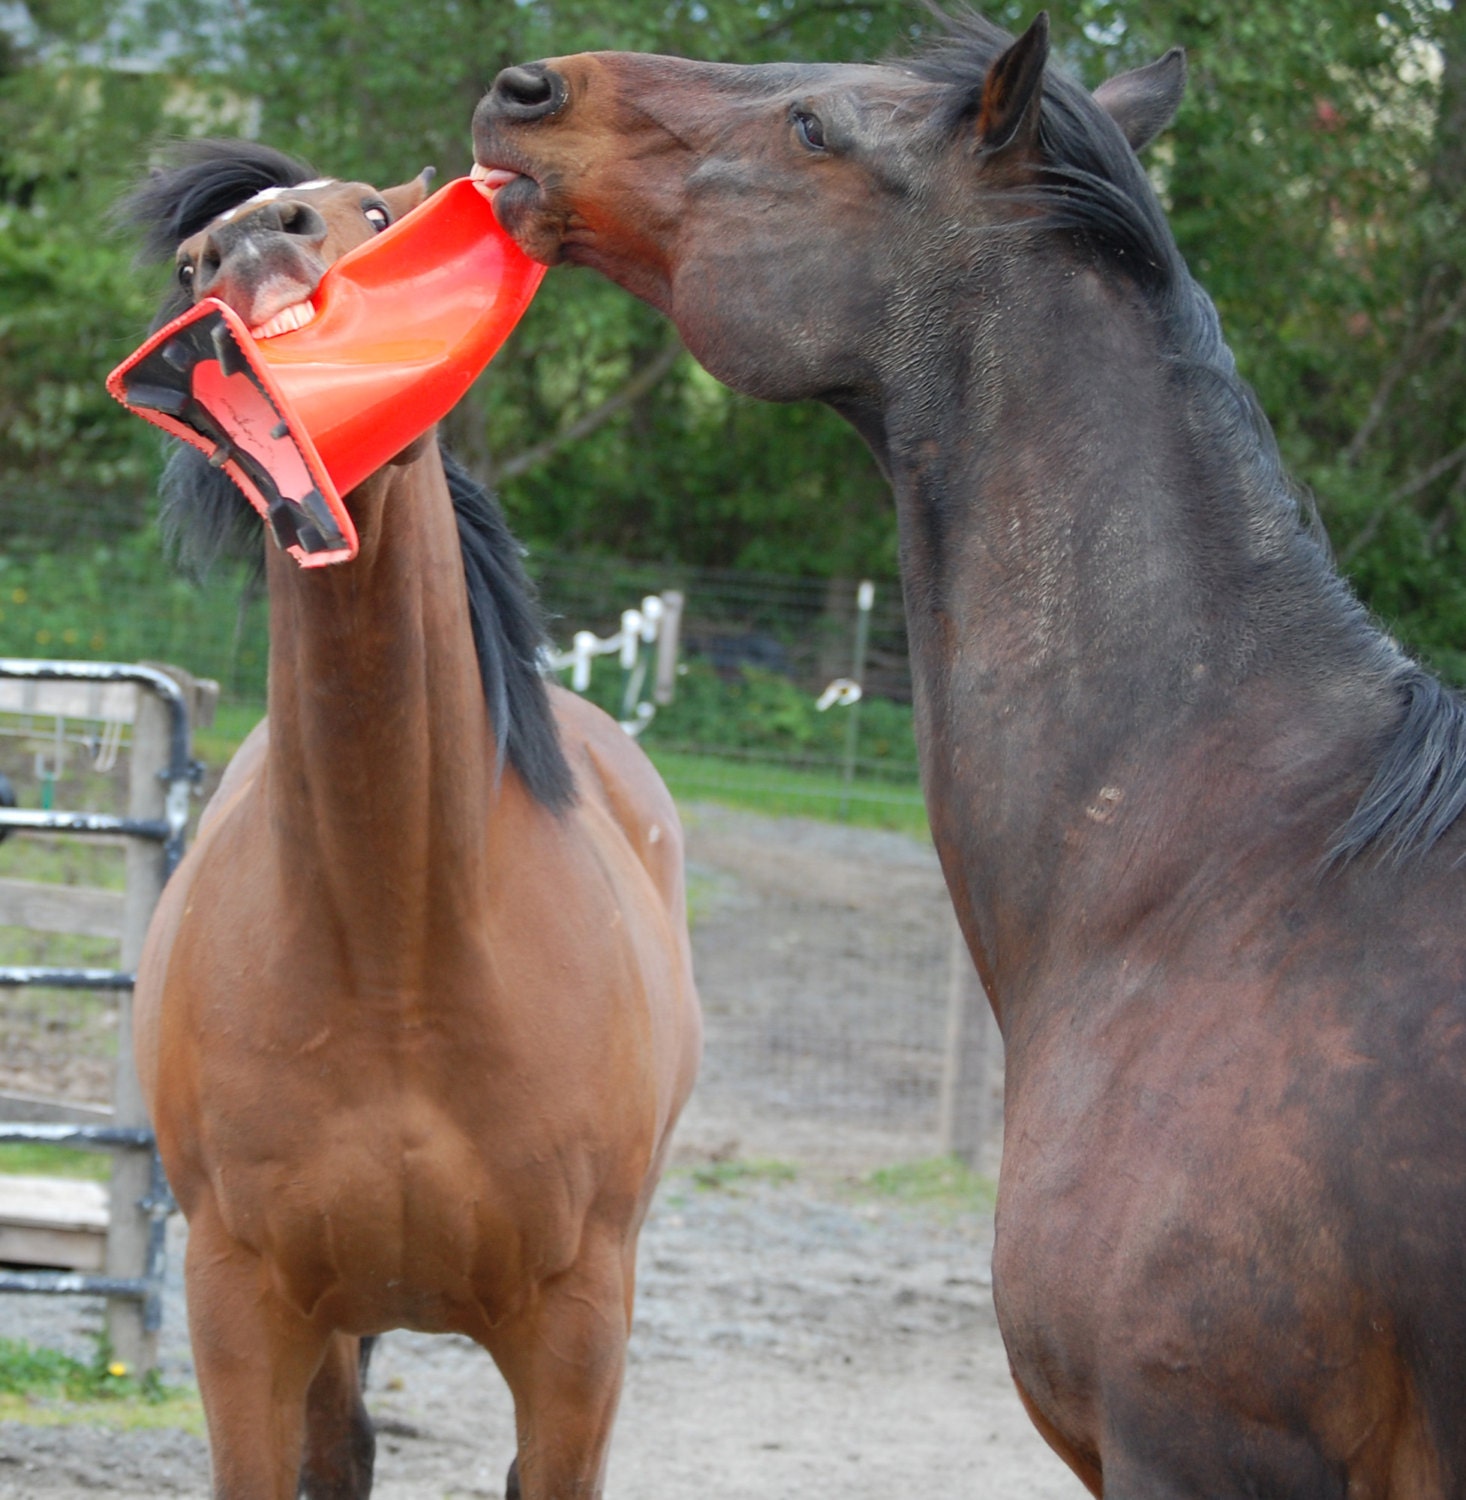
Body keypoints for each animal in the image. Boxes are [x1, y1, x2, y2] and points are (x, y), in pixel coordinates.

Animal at [122, 140, 701, 1500]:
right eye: (189, 269)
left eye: (377, 211)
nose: (249, 243)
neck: (399, 958)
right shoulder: (243, 1310)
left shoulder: (577, 1336)